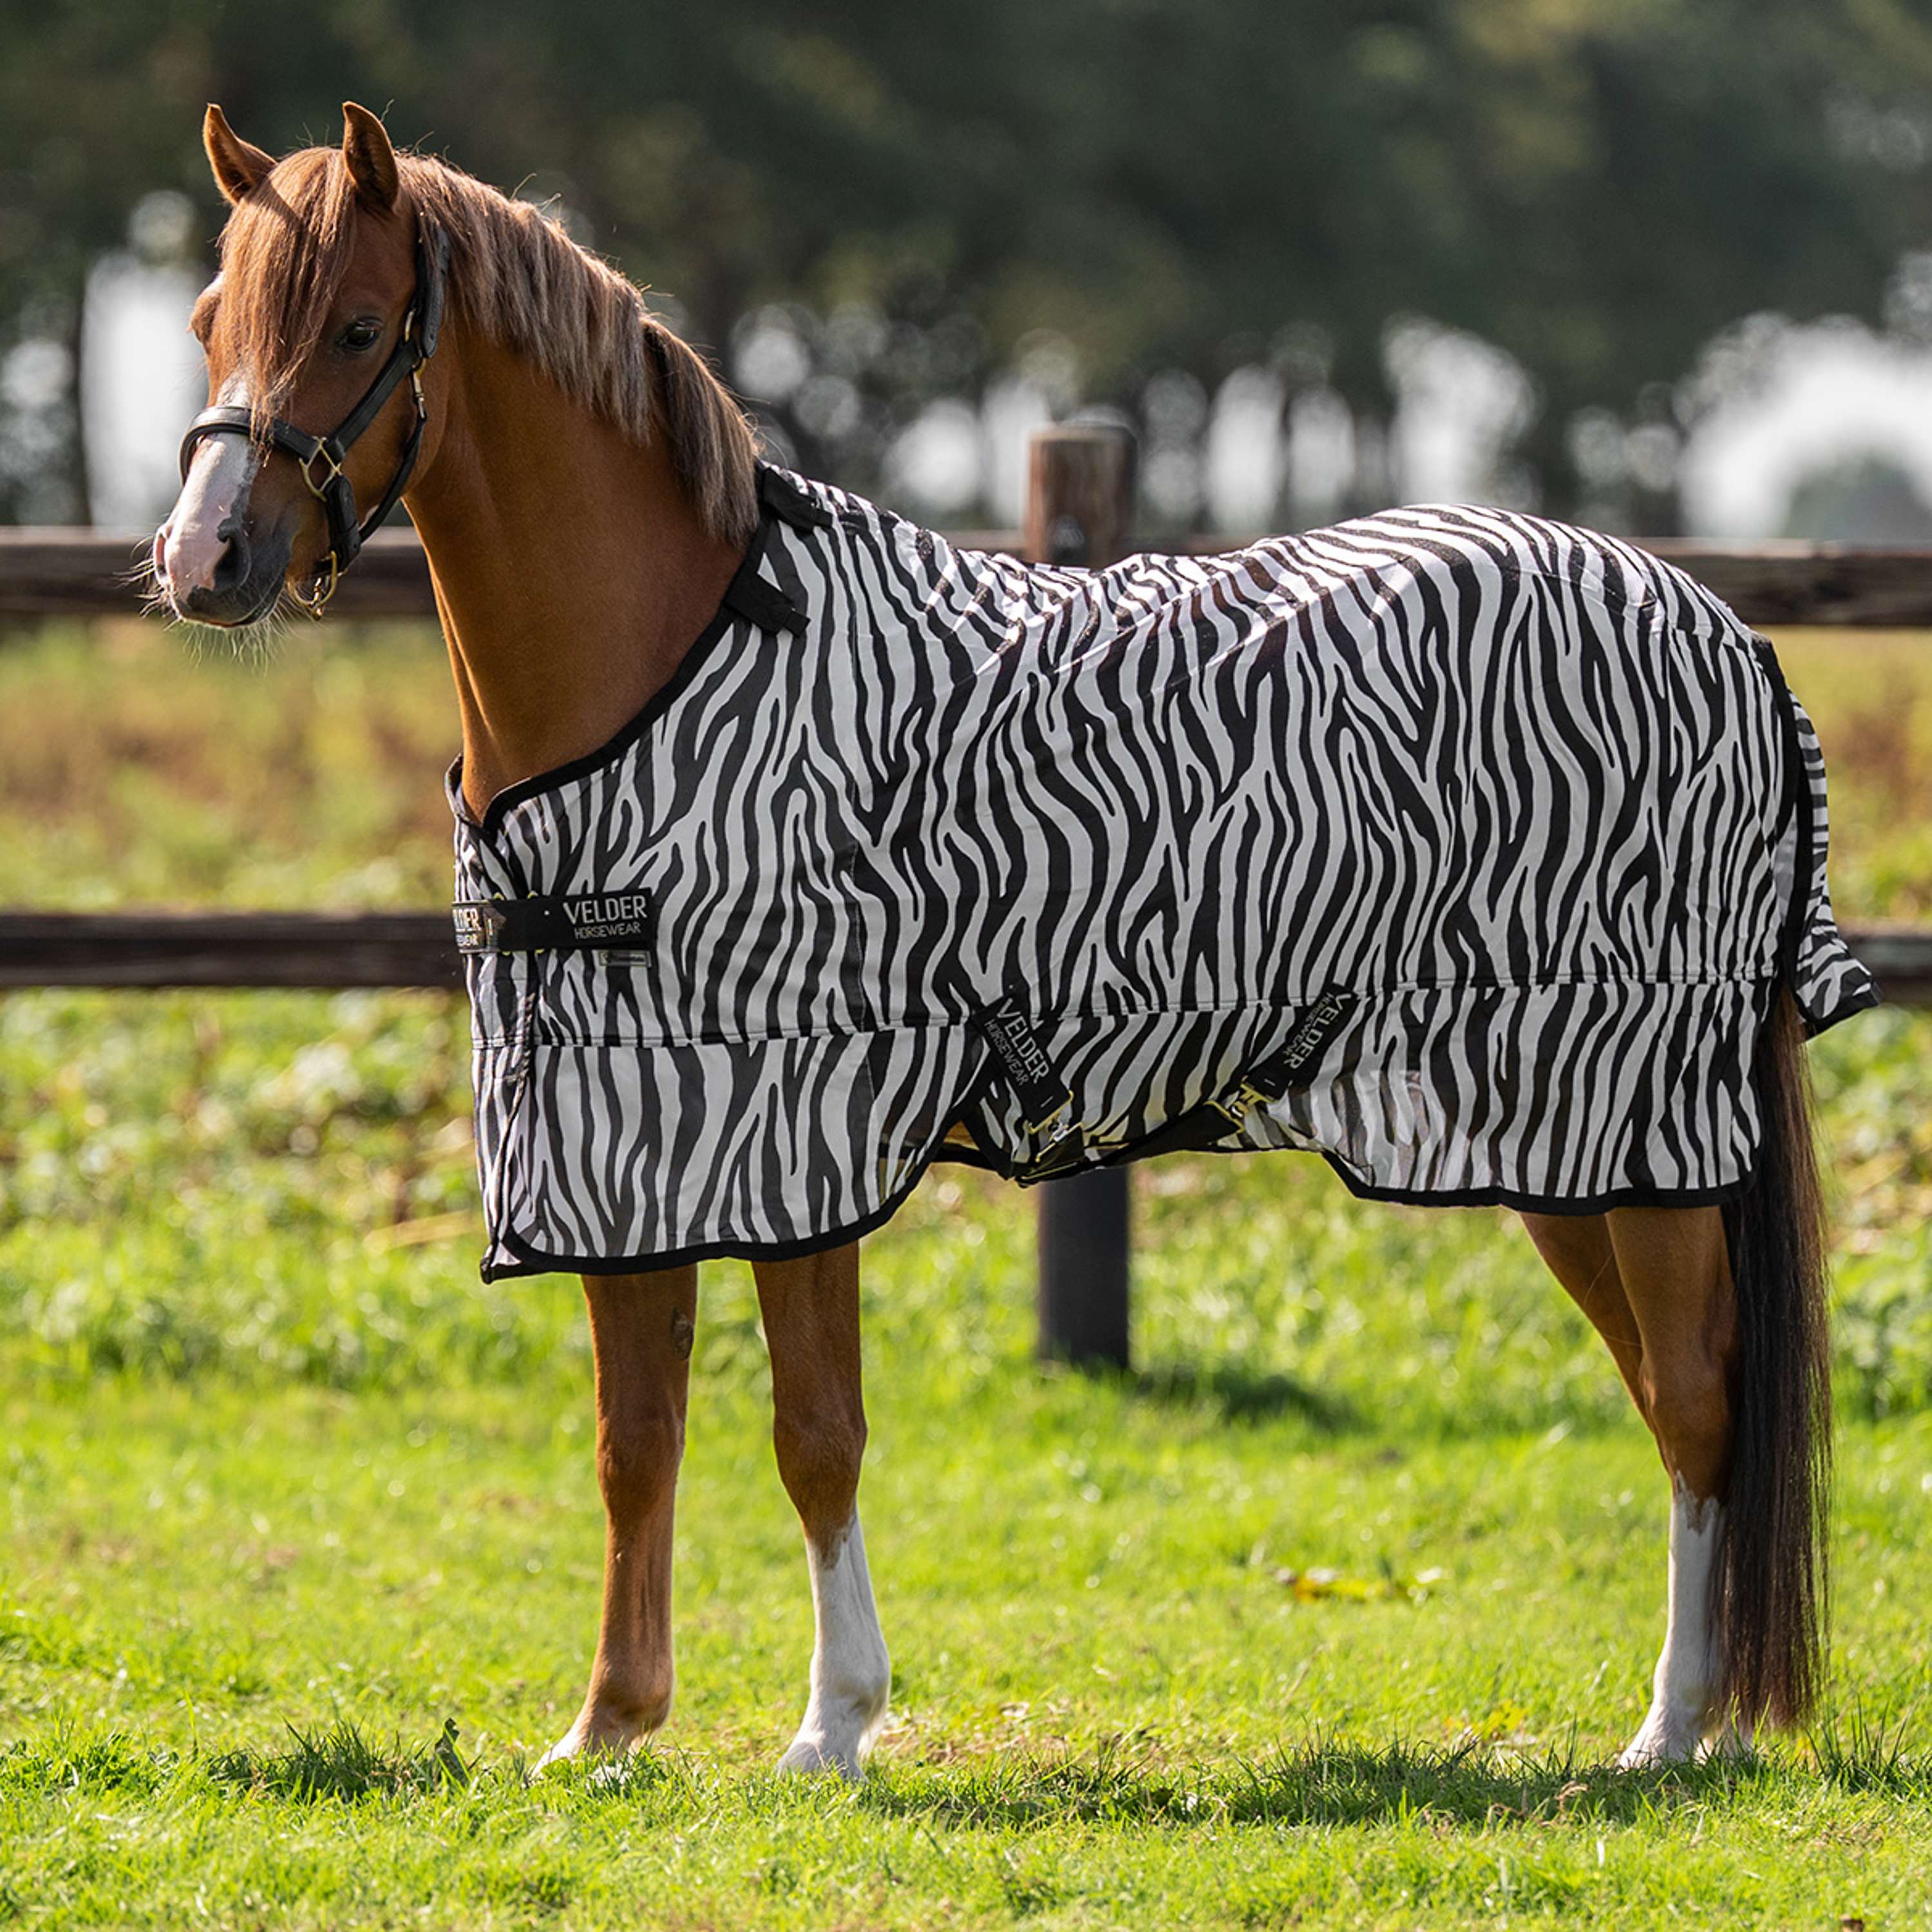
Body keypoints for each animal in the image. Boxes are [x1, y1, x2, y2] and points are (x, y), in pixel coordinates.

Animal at [153, 102, 1876, 1776]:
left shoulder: (794, 1116)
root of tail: (1722, 628)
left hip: (1620, 1112)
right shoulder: (623, 1130)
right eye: (205, 322)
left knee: (1696, 1399)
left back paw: (1671, 1731)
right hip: (1560, 1142)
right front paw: (608, 1730)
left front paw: (831, 1726)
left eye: (358, 323)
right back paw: (1706, 1717)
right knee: (1679, 1393)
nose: (201, 562)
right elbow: (633, 1440)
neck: (676, 675)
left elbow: (813, 1433)